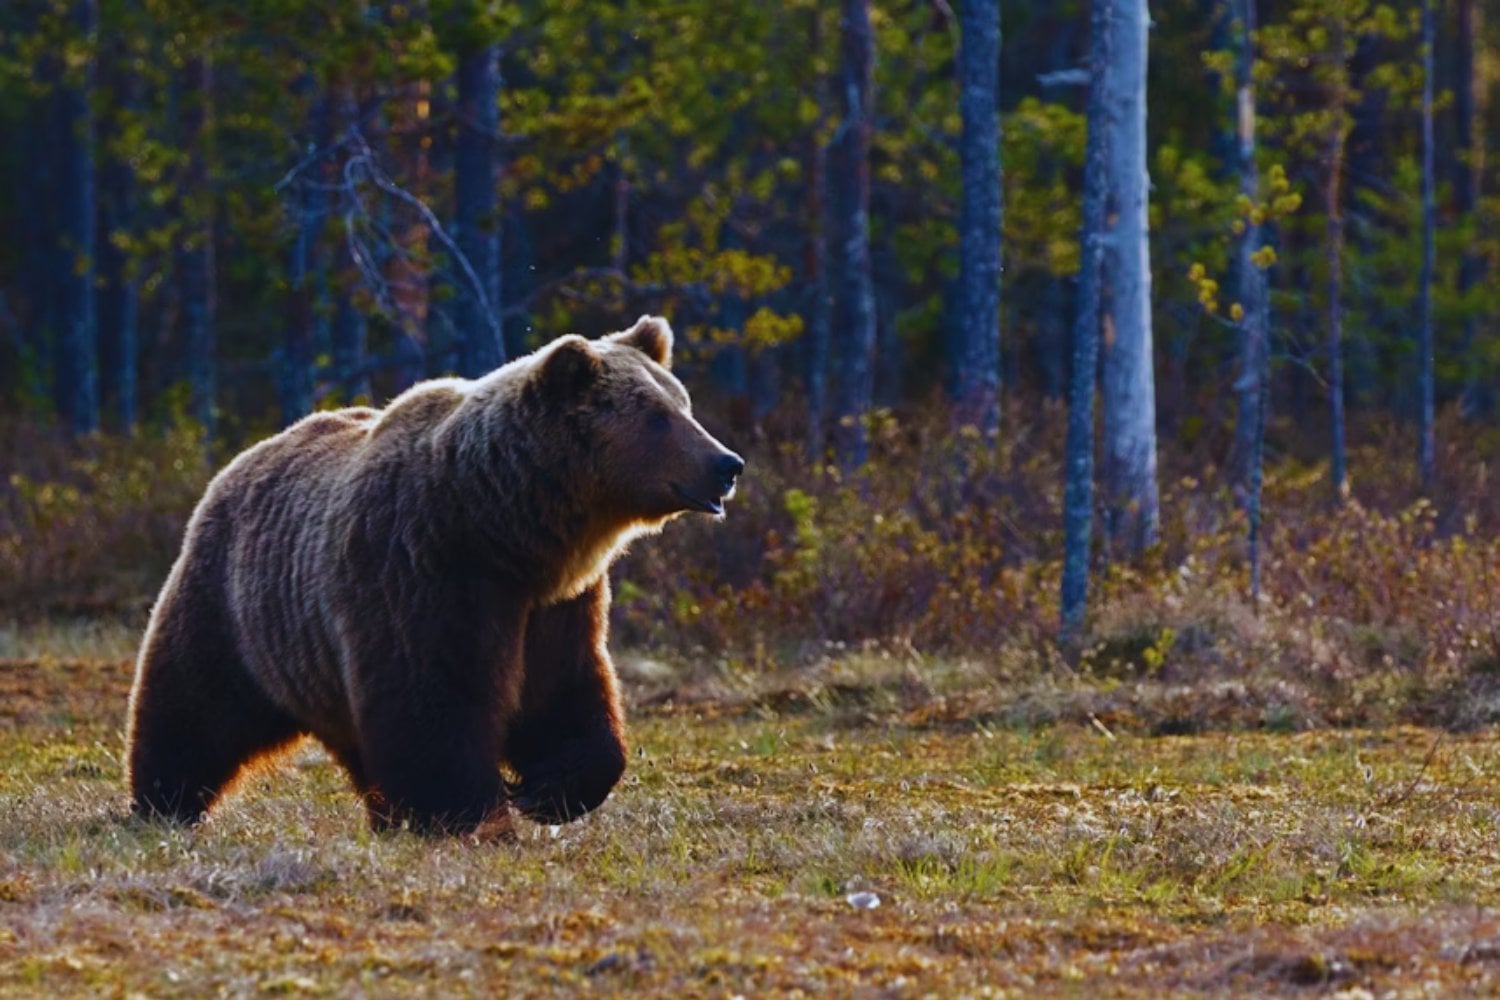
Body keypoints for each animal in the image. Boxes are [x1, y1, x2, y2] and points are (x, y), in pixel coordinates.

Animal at [125, 316, 742, 836]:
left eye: (683, 403)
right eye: (657, 416)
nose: (727, 463)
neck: (505, 529)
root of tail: (242, 459)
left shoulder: (557, 604)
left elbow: (565, 692)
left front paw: (548, 790)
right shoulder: (423, 569)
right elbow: (432, 700)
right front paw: (470, 813)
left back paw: (383, 815)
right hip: (236, 608)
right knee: (193, 705)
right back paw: (163, 802)